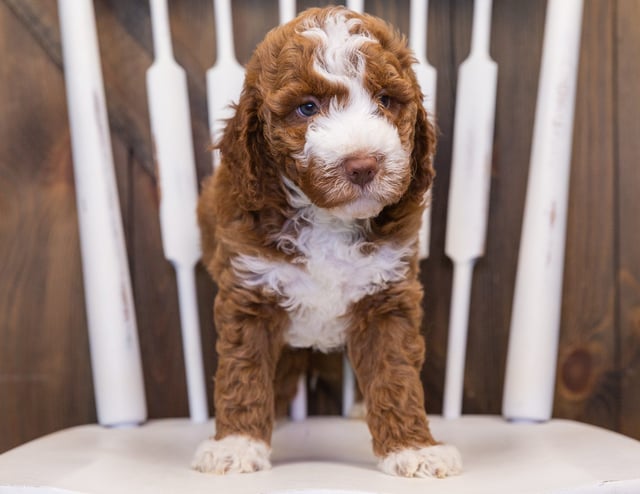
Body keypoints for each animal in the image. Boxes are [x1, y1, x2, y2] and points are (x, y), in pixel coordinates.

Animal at [192, 6, 462, 478]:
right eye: (307, 108)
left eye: (385, 101)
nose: (363, 165)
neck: (327, 219)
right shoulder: (250, 291)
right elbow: (244, 373)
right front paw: (236, 445)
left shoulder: (387, 298)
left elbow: (395, 374)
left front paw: (414, 449)